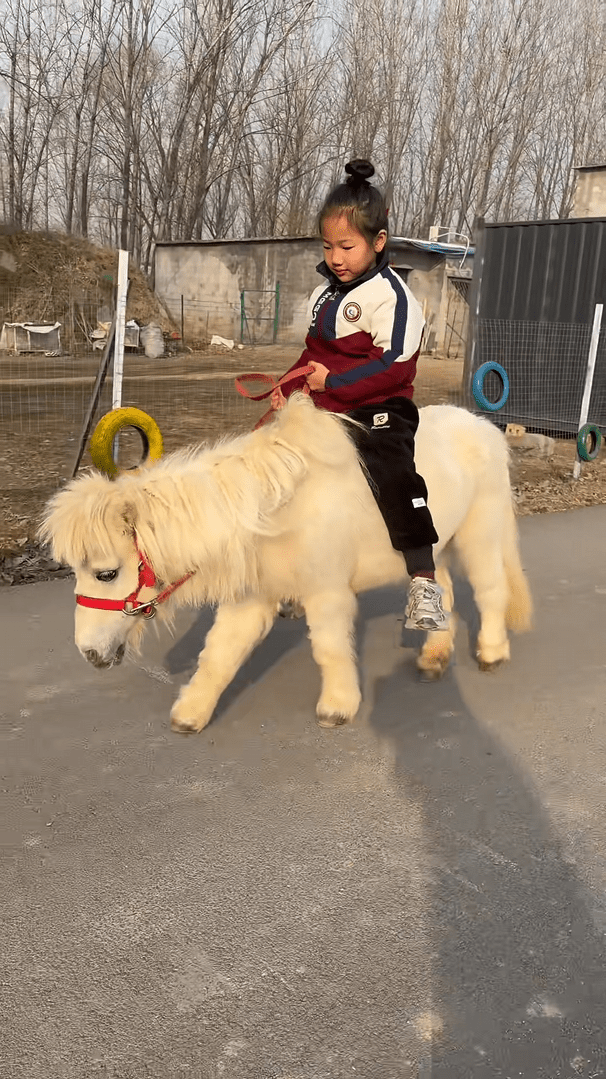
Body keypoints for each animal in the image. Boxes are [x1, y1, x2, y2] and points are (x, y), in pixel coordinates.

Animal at [39, 394, 532, 733]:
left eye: (106, 573)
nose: (89, 653)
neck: (271, 511)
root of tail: (483, 426)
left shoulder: (327, 593)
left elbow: (329, 647)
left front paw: (338, 706)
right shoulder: (251, 600)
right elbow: (219, 655)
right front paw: (190, 714)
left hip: (479, 534)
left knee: (490, 589)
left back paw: (492, 652)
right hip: (436, 544)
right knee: (441, 587)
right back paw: (434, 656)